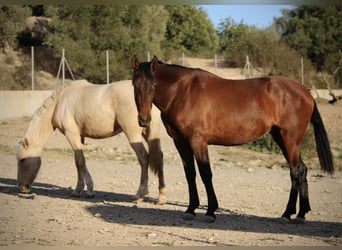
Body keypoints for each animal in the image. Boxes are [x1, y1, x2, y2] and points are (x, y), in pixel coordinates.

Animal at [16, 80, 166, 205]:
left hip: (133, 134)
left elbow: (80, 161)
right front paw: (80, 189)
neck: (60, 102)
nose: (22, 187)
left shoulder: (72, 134)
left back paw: (139, 194)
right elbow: (78, 162)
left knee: (144, 158)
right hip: (150, 134)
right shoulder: (80, 136)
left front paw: (86, 190)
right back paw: (161, 197)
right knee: (159, 158)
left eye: (23, 160)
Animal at [132, 55, 334, 223]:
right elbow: (190, 174)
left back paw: (287, 214)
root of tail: (306, 93)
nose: (143, 120)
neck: (182, 92)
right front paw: (190, 209)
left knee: (295, 172)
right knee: (302, 170)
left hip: (289, 140)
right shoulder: (180, 142)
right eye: (135, 85)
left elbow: (206, 174)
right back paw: (301, 214)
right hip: (283, 138)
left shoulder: (198, 141)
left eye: (154, 85)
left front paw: (210, 211)